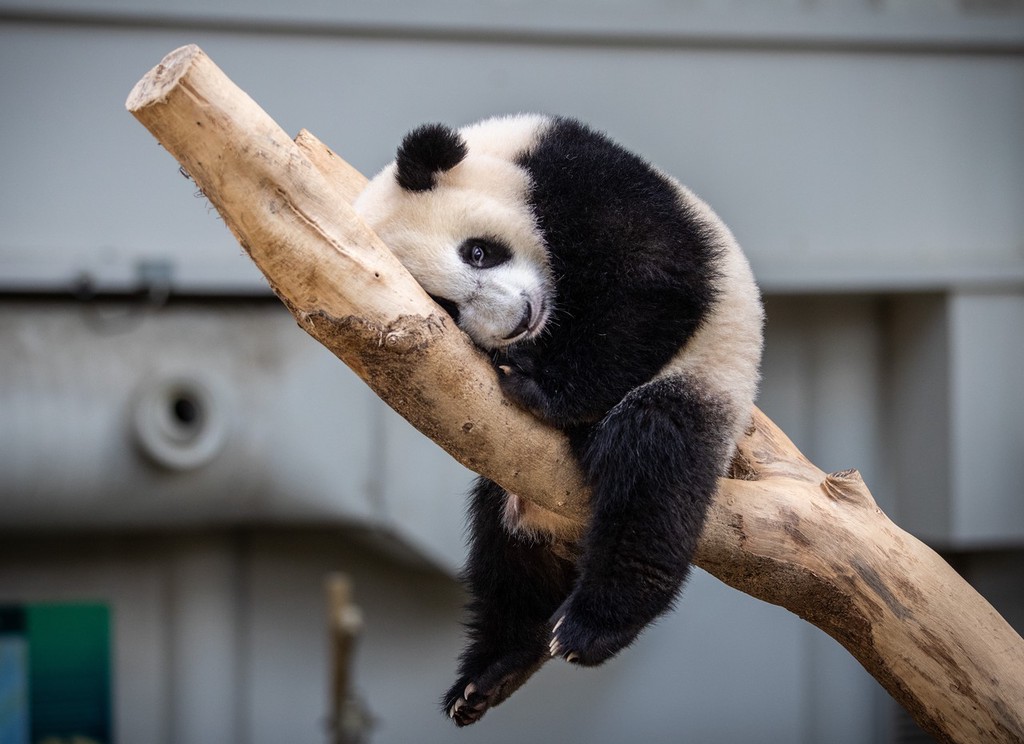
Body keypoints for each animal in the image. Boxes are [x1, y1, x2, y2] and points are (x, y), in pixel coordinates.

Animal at [352, 113, 761, 724]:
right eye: (444, 308)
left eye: (478, 252)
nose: (518, 321)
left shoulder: (580, 179)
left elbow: (652, 285)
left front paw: (543, 387)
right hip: (517, 490)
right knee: (509, 558)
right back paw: (494, 672)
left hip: (708, 379)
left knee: (652, 464)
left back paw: (594, 625)